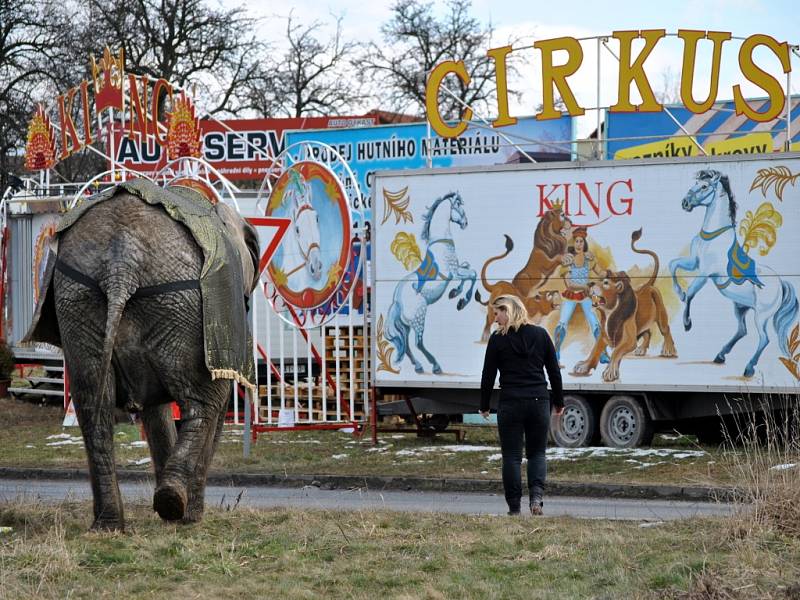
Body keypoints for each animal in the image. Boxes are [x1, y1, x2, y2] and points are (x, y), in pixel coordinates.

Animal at [23, 179, 260, 528]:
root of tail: (121, 261)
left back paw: (110, 524)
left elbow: (155, 412)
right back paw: (175, 506)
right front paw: (188, 517)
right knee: (204, 402)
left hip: (78, 297)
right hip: (180, 302)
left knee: (93, 406)